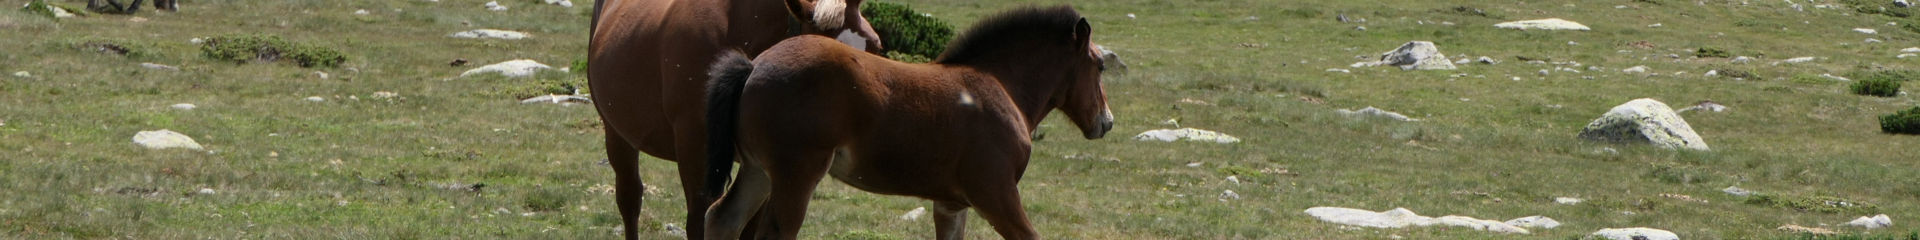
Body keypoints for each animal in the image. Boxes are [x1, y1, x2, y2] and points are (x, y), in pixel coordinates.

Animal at [583, 0, 883, 238]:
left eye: (876, 47)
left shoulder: (769, 163)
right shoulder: (696, 149)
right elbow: (698, 222)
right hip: (617, 136)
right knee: (630, 200)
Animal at [702, 6, 1113, 239]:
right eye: (1100, 65)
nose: (1106, 122)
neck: (999, 86)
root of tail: (753, 66)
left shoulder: (951, 204)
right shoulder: (996, 194)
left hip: (758, 170)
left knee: (722, 218)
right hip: (796, 175)